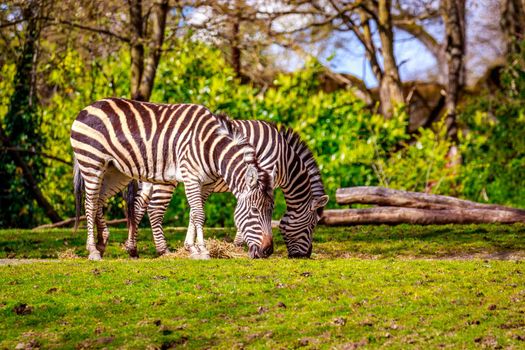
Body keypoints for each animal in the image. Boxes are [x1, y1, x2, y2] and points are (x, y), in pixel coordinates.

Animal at [69, 98, 274, 260]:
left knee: (99, 200)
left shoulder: (206, 183)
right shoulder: (191, 177)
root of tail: (87, 107)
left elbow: (194, 213)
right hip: (92, 162)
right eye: (254, 210)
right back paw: (93, 250)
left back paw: (103, 243)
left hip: (116, 172)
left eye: (270, 210)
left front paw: (193, 248)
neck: (211, 148)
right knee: (90, 202)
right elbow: (199, 214)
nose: (268, 251)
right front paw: (202, 251)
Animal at [125, 119, 328, 258]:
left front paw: (191, 246)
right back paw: (162, 250)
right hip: (165, 178)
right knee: (154, 210)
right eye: (312, 226)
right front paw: (240, 245)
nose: (304, 256)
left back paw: (132, 248)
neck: (285, 160)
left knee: (138, 207)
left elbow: (194, 212)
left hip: (148, 179)